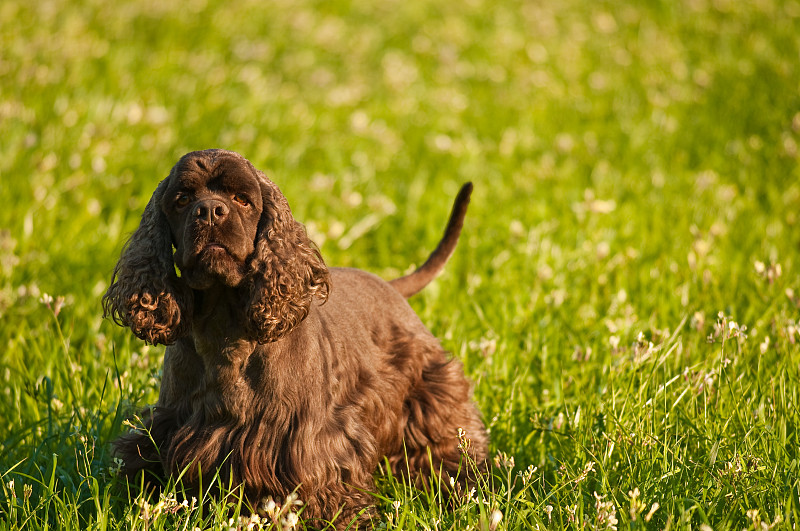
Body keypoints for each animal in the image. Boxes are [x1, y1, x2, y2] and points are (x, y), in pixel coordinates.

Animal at [102, 149, 484, 528]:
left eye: (242, 199)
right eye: (182, 199)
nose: (209, 210)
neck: (225, 325)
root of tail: (390, 285)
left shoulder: (310, 444)